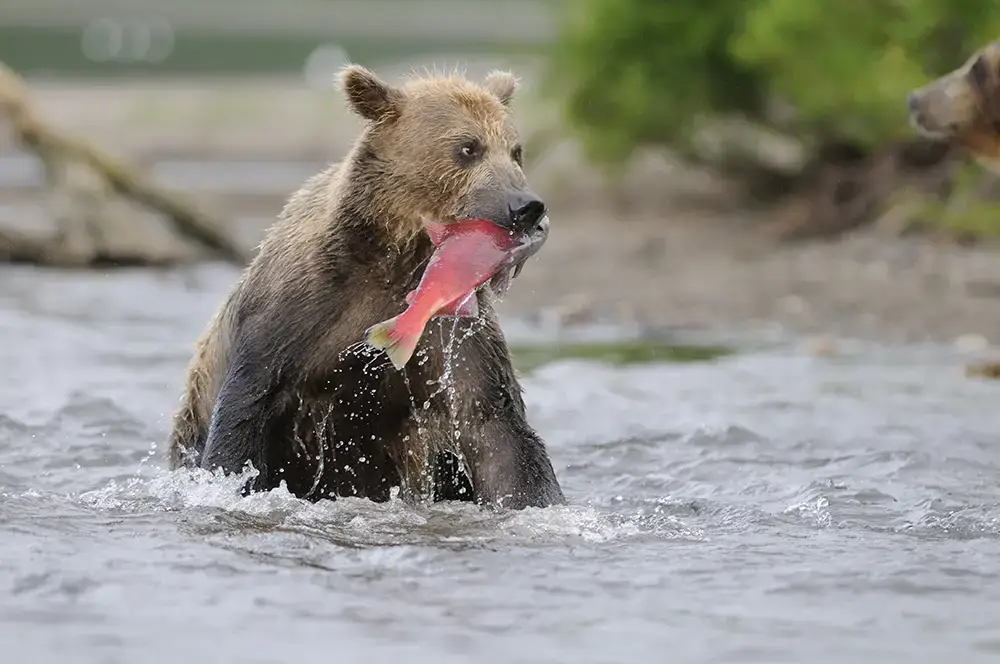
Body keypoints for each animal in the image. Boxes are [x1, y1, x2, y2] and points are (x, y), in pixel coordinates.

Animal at [165, 64, 565, 511]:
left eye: (515, 150)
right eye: (467, 148)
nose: (526, 206)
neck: (397, 259)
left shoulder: (454, 335)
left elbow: (495, 429)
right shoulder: (297, 312)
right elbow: (244, 412)